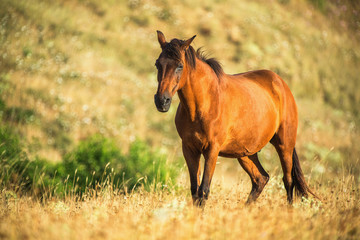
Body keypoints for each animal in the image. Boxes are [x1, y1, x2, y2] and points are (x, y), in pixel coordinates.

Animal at [153, 30, 316, 206]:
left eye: (180, 66)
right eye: (157, 64)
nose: (162, 101)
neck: (204, 104)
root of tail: (281, 83)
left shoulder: (212, 150)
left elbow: (204, 190)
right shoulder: (189, 149)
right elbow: (194, 191)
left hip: (284, 145)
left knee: (288, 181)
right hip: (246, 153)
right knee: (261, 178)